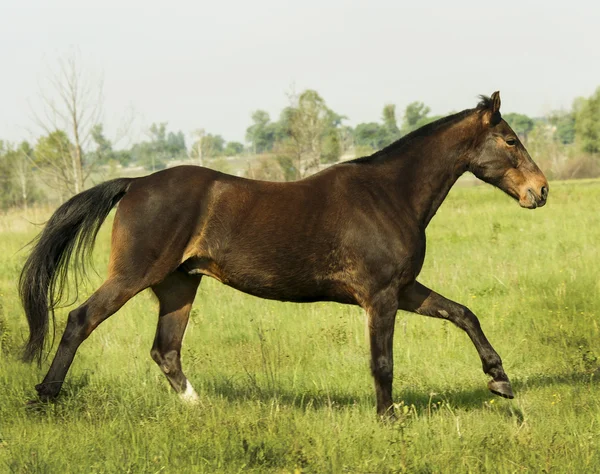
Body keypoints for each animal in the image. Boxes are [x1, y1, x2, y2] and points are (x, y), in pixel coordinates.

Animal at [21, 91, 548, 414]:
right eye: (510, 139)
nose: (540, 191)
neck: (390, 194)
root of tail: (135, 183)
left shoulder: (404, 289)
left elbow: (463, 314)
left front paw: (499, 379)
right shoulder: (381, 297)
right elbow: (383, 361)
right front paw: (389, 418)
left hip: (179, 285)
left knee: (166, 350)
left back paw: (202, 409)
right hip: (134, 275)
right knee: (81, 320)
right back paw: (45, 396)